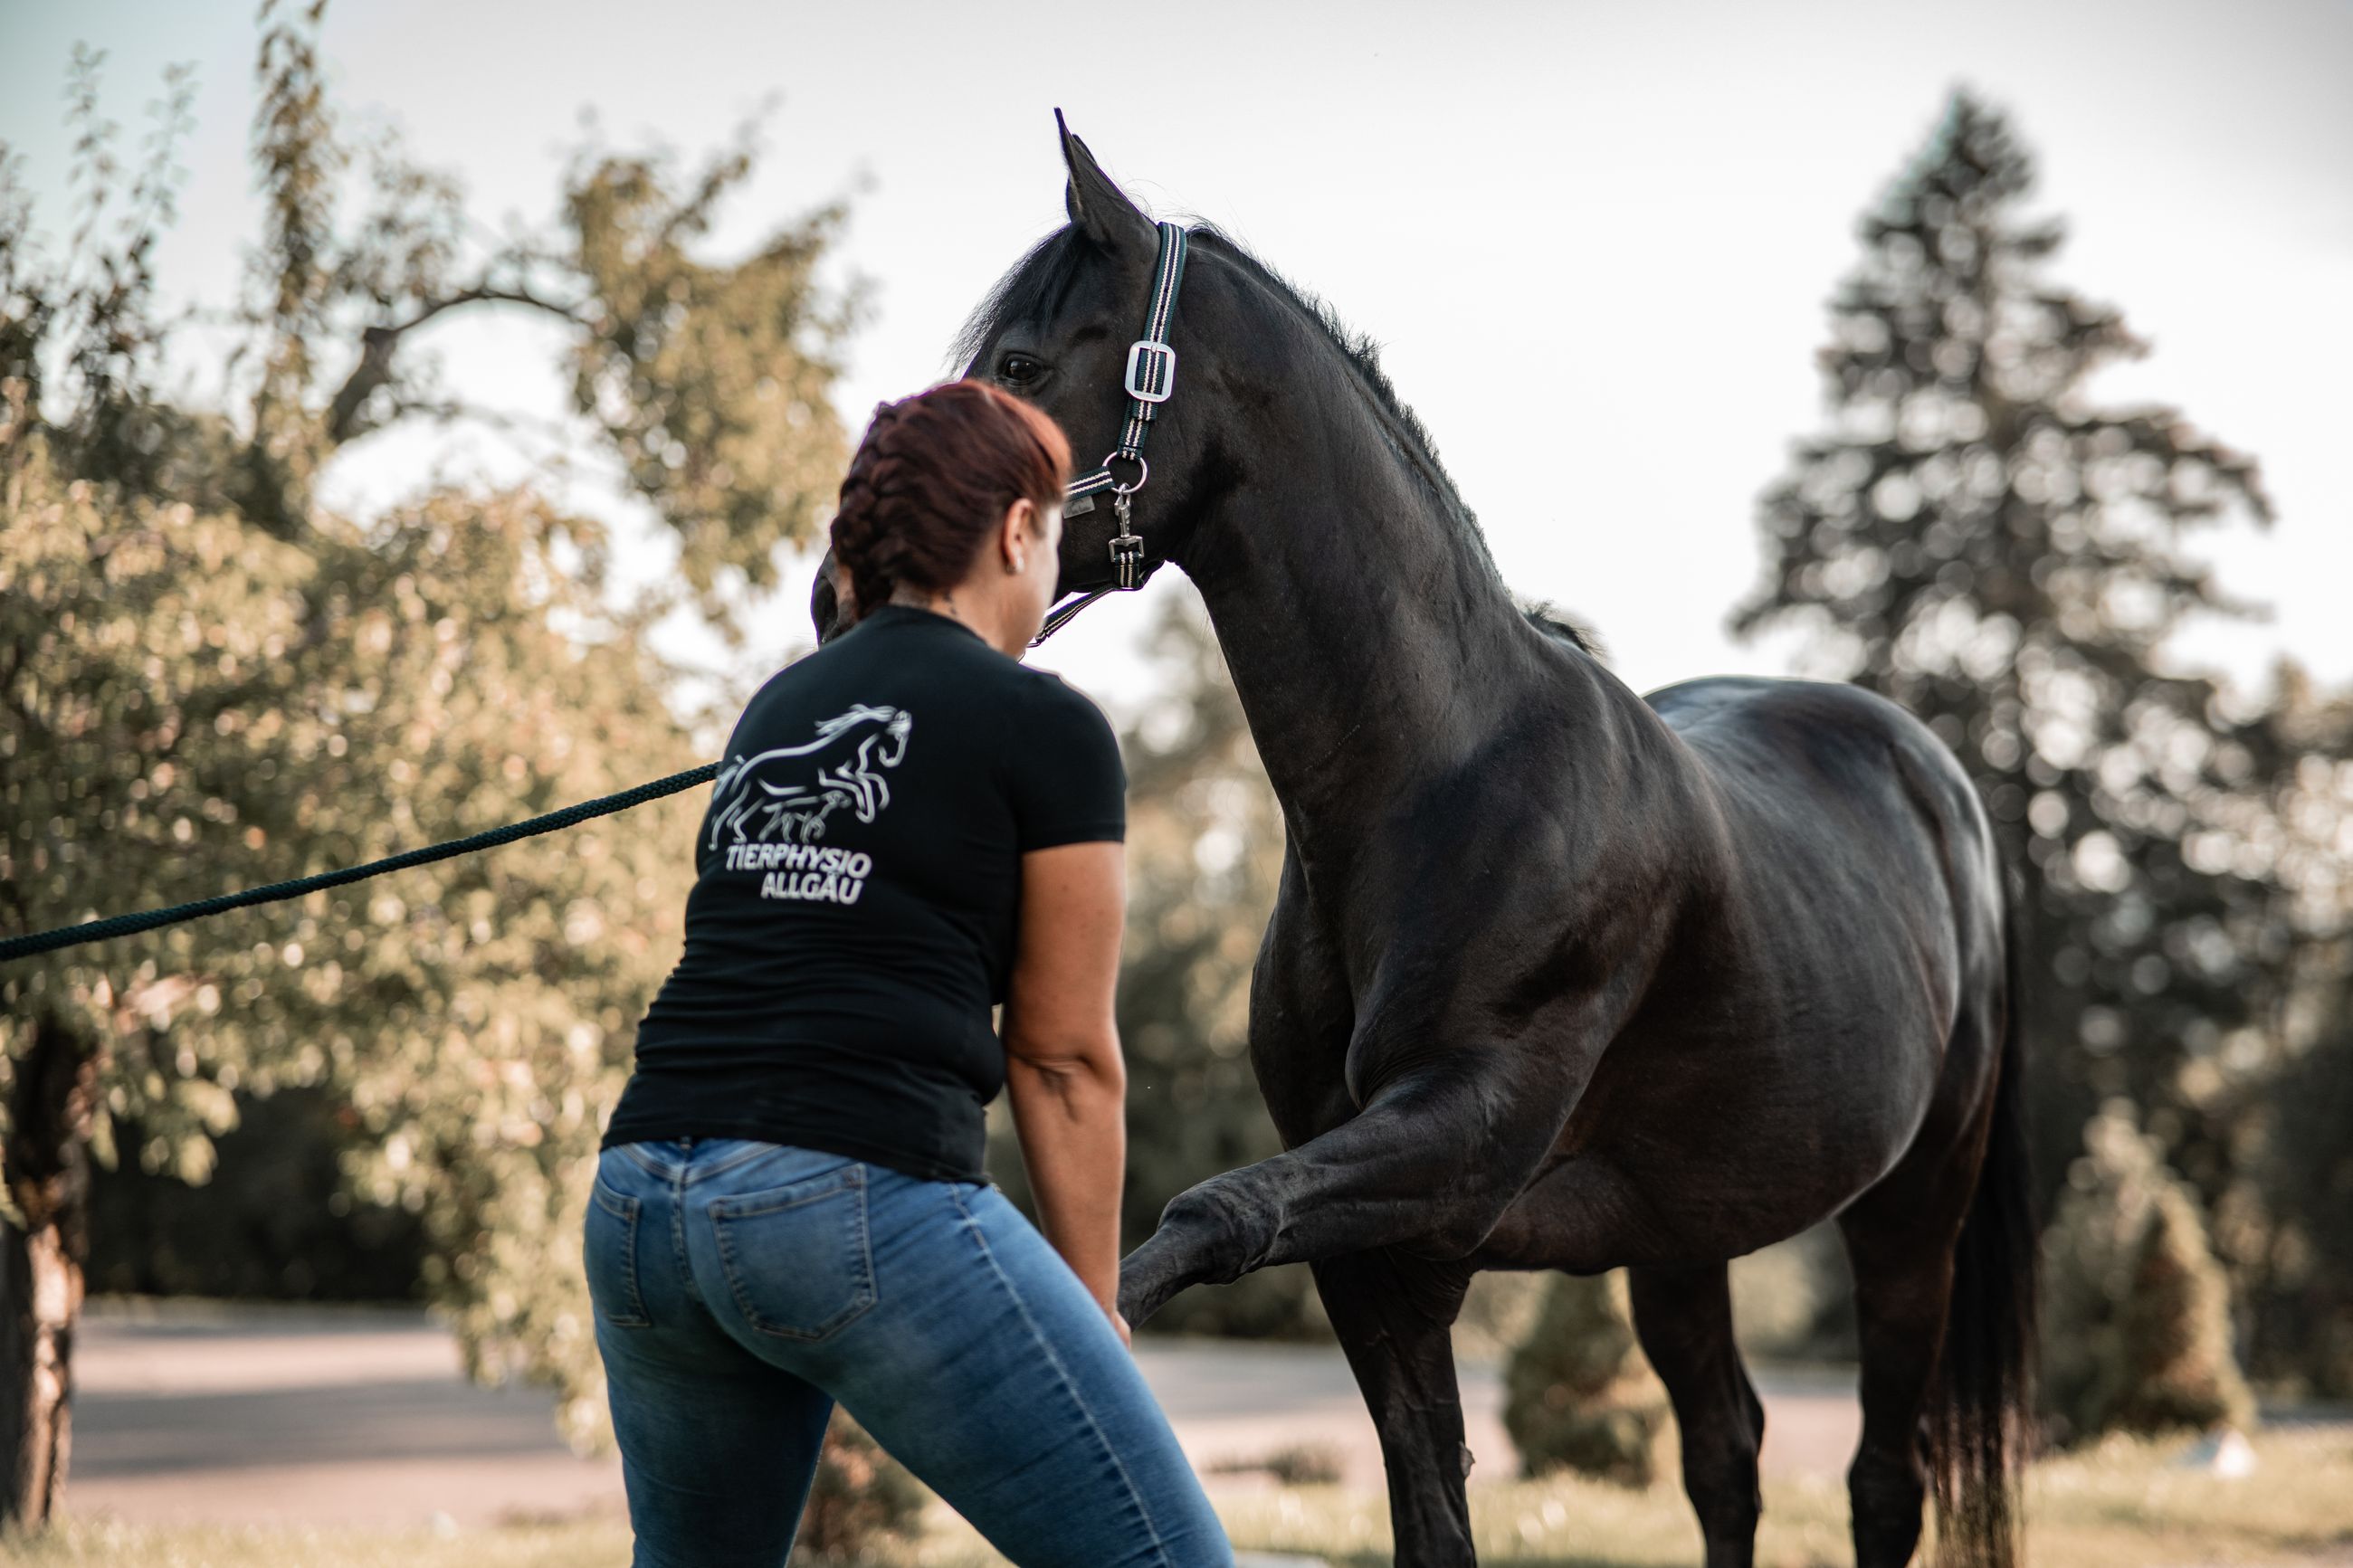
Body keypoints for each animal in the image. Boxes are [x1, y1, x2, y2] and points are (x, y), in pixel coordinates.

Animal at [813, 127, 2034, 1568]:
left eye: (1017, 366)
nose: (838, 594)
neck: (1435, 787)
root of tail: (1934, 781)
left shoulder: (1451, 1156)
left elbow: (1211, 1212)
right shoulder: (1378, 1256)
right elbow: (1426, 1506)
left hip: (1913, 1216)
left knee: (1881, 1482)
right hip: (1681, 1235)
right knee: (1725, 1454)